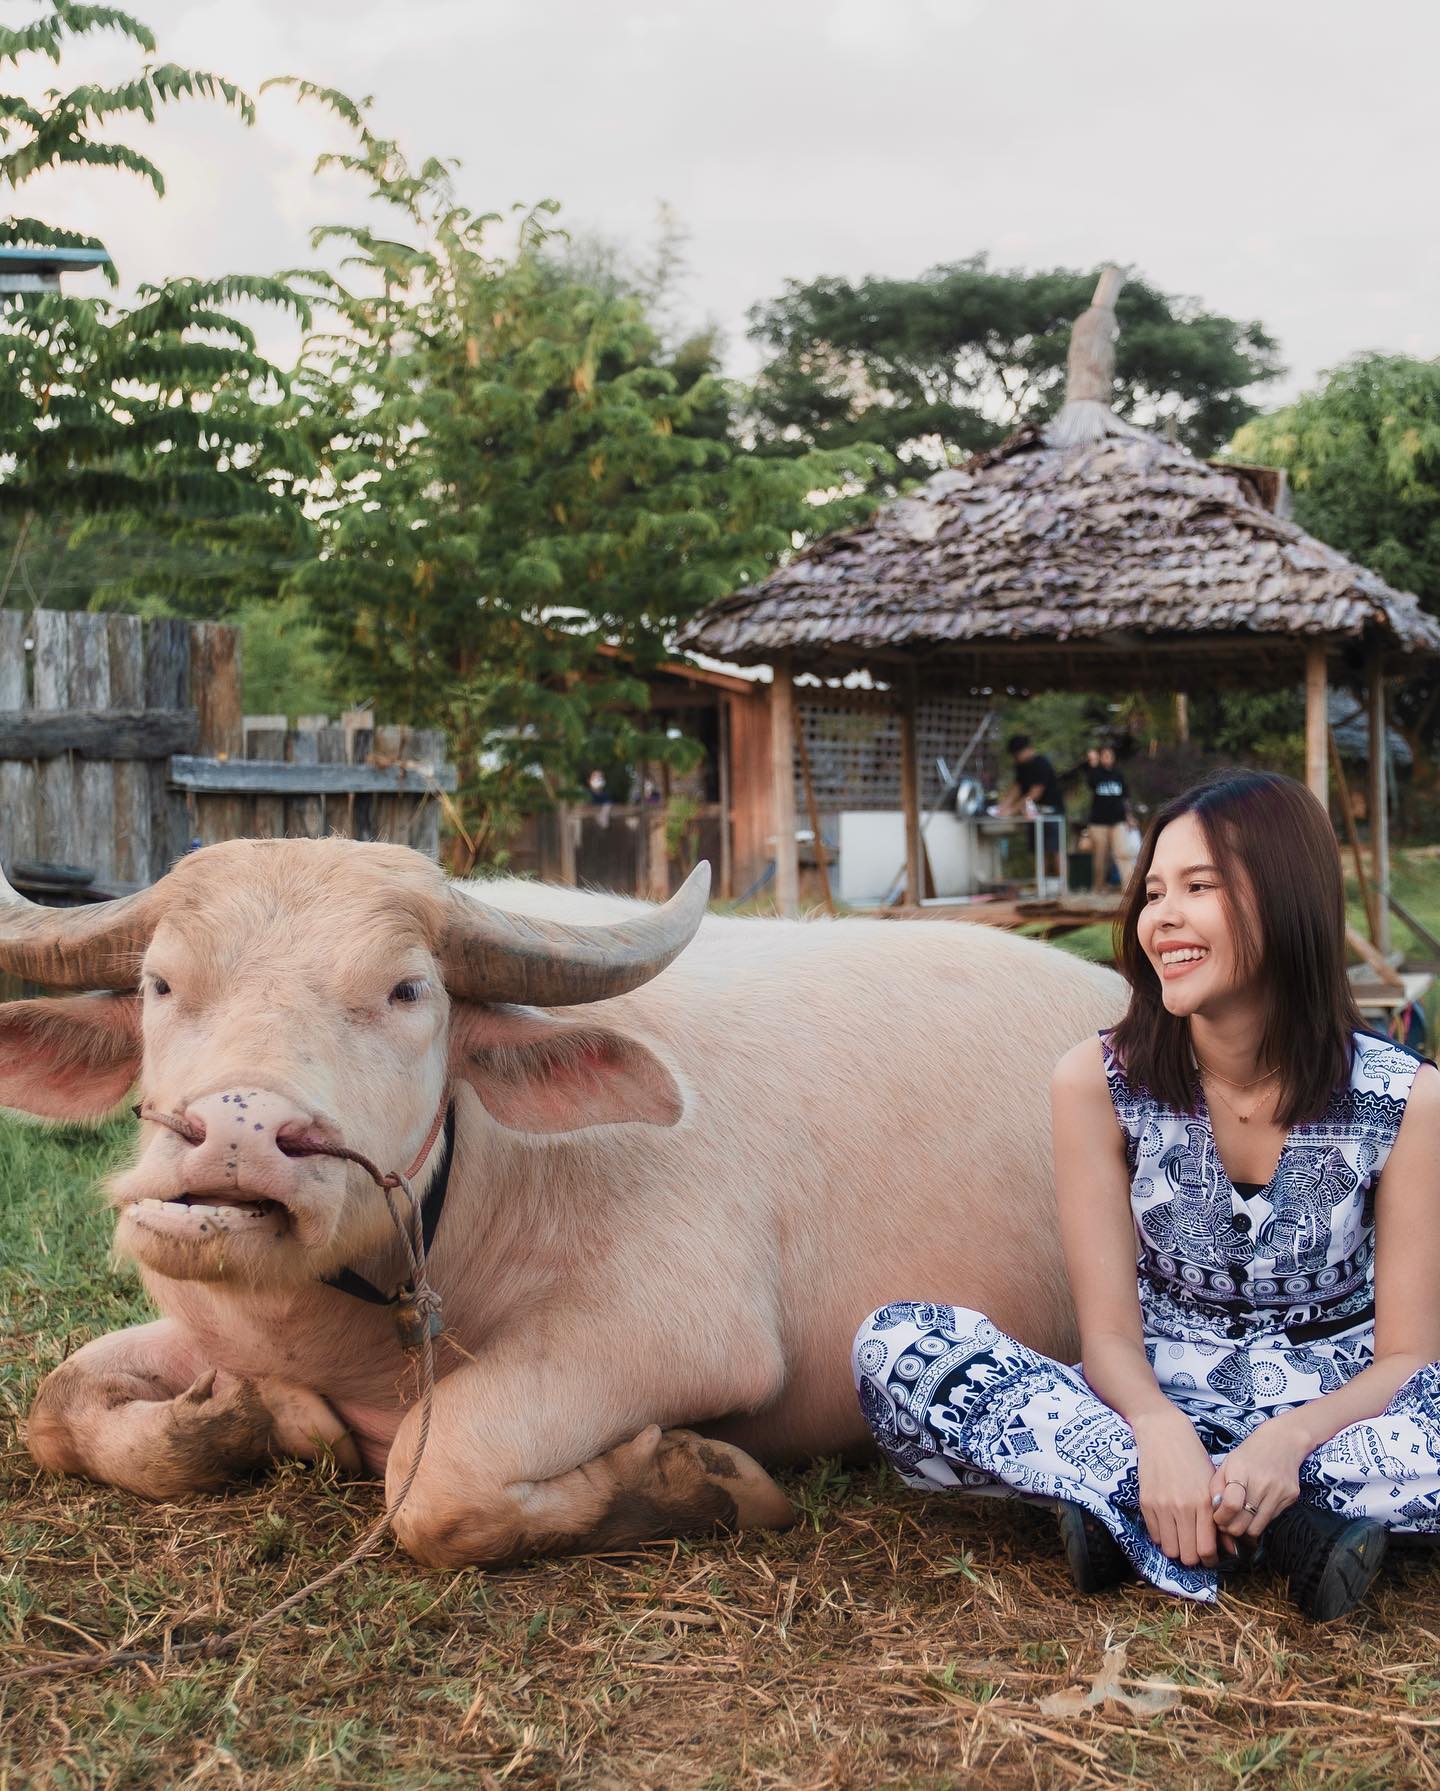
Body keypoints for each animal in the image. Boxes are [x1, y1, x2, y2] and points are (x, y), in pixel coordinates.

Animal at [2, 838, 1124, 1554]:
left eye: (408, 990)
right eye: (159, 984)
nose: (238, 1132)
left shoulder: (680, 1332)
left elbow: (433, 1476)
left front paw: (697, 1480)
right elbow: (54, 1409)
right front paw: (253, 1417)